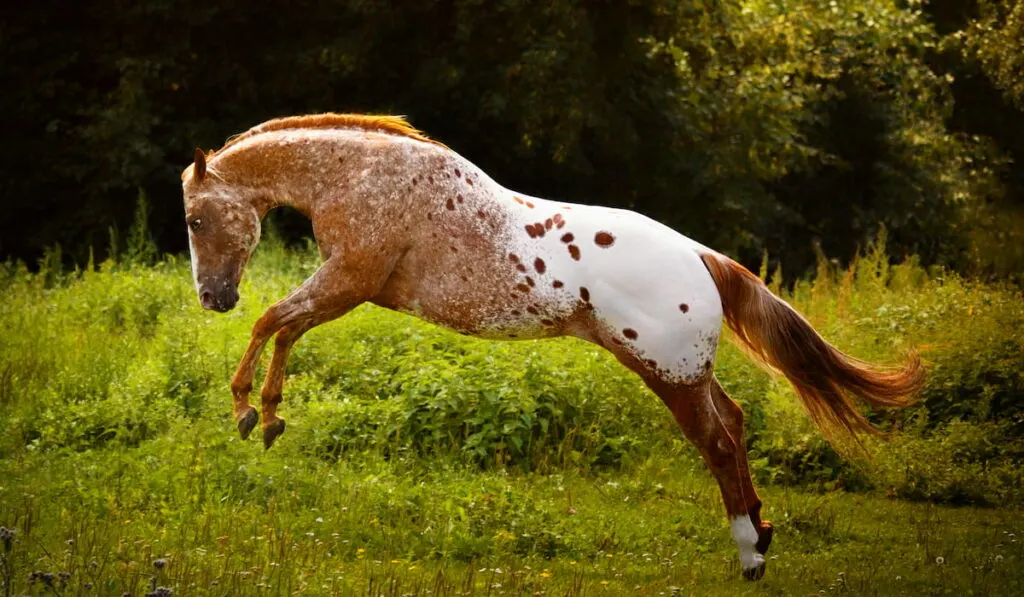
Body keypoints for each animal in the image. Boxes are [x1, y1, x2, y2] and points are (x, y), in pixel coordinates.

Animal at [184, 114, 929, 581]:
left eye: (194, 219)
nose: (212, 297)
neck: (363, 176)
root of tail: (701, 255)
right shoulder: (346, 287)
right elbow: (283, 327)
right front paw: (267, 415)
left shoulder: (349, 280)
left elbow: (272, 322)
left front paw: (253, 411)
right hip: (683, 371)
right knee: (737, 424)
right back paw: (762, 535)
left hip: (667, 373)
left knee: (717, 442)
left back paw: (750, 556)